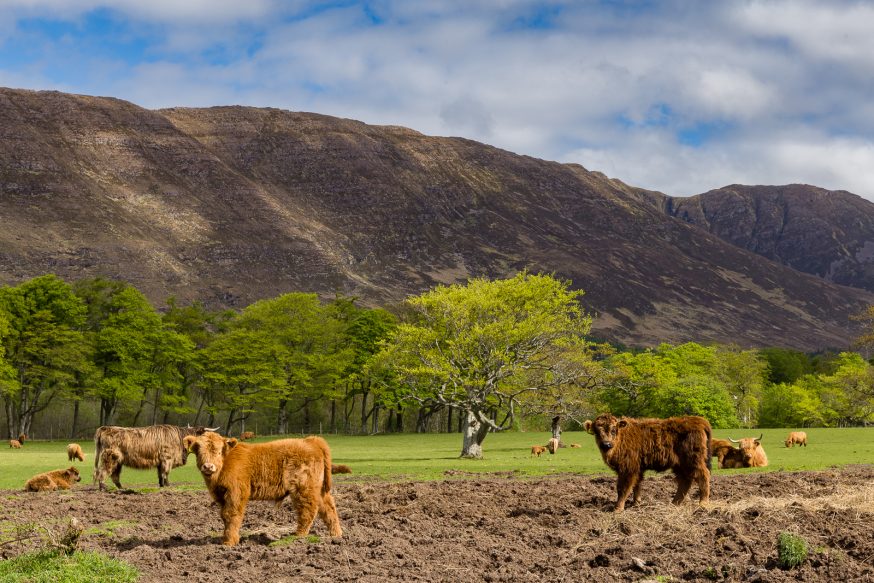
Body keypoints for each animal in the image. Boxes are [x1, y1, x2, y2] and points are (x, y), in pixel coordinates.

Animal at [185, 434, 344, 548]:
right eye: (199, 451)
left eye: (218, 452)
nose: (208, 466)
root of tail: (311, 440)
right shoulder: (222, 496)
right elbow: (224, 516)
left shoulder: (236, 492)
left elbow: (232, 515)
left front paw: (229, 542)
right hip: (319, 489)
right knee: (328, 508)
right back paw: (336, 535)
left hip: (304, 488)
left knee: (308, 510)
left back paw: (297, 537)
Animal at [584, 416, 712, 512]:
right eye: (596, 432)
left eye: (613, 430)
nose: (606, 444)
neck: (621, 438)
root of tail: (699, 421)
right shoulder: (637, 469)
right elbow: (637, 485)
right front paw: (636, 504)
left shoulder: (627, 469)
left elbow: (623, 488)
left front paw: (618, 508)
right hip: (680, 465)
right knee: (685, 481)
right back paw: (674, 503)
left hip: (693, 461)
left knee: (703, 475)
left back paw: (703, 503)